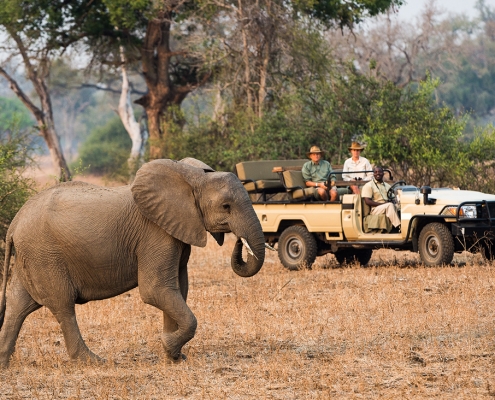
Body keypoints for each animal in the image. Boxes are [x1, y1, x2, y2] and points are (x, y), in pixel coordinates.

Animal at [0, 155, 268, 366]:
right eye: (226, 206)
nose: (239, 242)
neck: (191, 177)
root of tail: (15, 221)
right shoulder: (155, 233)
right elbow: (156, 289)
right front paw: (169, 346)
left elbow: (178, 288)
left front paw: (174, 356)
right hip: (44, 254)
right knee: (63, 306)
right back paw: (93, 362)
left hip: (32, 255)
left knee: (18, 306)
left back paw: (4, 363)